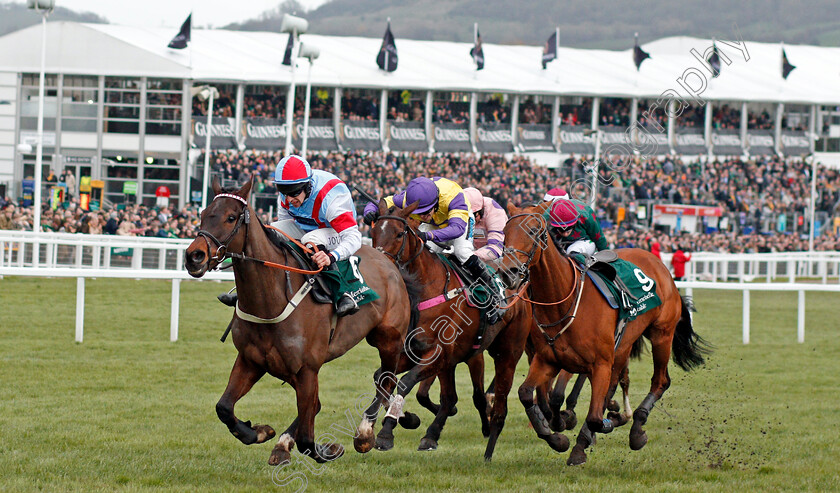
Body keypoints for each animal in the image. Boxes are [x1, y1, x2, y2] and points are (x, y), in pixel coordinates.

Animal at [187, 177, 416, 466]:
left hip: (388, 339)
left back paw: (365, 433)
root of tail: (387, 260)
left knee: (385, 380)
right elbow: (224, 407)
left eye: (230, 217)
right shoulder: (251, 360)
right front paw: (259, 432)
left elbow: (308, 439)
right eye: (204, 214)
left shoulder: (307, 369)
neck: (269, 302)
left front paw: (329, 449)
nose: (194, 256)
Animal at [370, 200, 540, 462]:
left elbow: (405, 383)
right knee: (450, 397)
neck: (424, 289)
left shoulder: (438, 353)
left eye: (399, 234)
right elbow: (382, 377)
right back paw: (432, 433)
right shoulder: (414, 352)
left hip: (507, 352)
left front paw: (387, 432)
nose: (380, 265)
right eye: (373, 232)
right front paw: (406, 419)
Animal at [498, 201, 708, 466]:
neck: (562, 301)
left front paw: (606, 422)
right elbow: (528, 394)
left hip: (661, 334)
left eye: (535, 231)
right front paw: (558, 436)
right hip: (623, 345)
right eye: (505, 232)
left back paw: (635, 429)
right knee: (615, 382)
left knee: (660, 381)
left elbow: (595, 417)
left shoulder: (599, 363)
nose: (509, 272)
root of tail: (660, 265)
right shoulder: (547, 359)